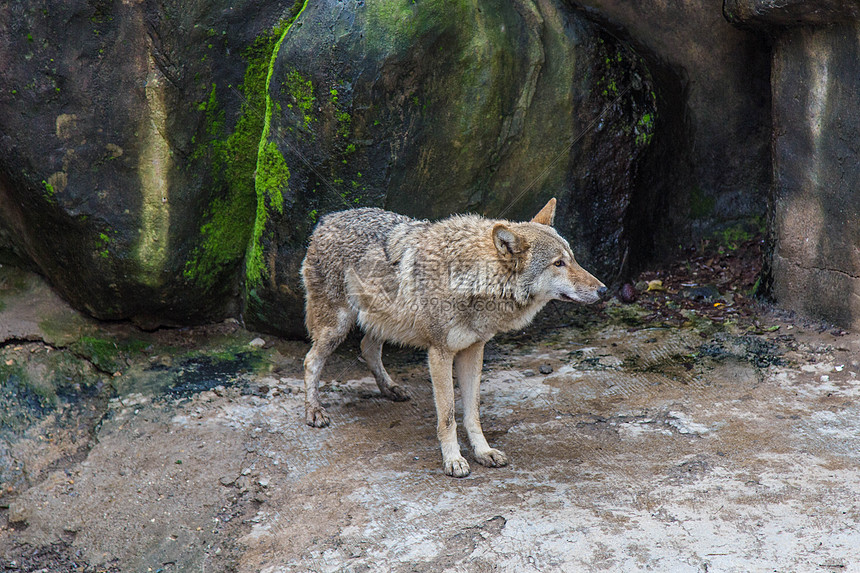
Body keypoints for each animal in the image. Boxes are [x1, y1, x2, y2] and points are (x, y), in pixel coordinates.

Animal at [300, 199, 604, 476]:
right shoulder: (439, 354)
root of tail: (327, 219)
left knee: (367, 348)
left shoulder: (474, 349)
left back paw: (390, 389)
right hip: (337, 327)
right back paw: (314, 411)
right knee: (311, 361)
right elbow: (447, 416)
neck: (472, 281)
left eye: (572, 259)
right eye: (558, 263)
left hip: (380, 323)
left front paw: (483, 452)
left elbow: (472, 413)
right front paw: (453, 460)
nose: (603, 289)